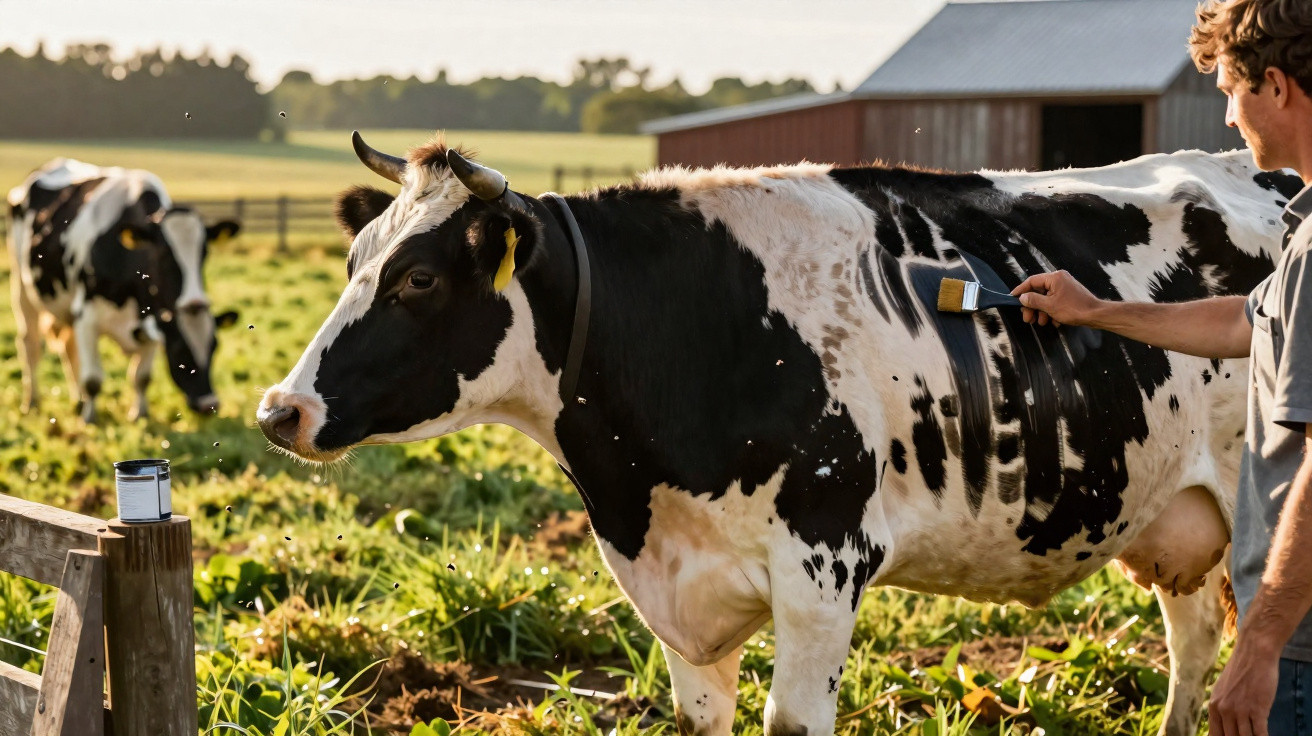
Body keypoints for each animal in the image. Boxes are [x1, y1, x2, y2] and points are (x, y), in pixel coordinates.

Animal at [8, 159, 240, 422]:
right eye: (179, 349)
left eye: (214, 346)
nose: (208, 404)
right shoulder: (86, 316)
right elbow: (93, 380)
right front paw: (89, 419)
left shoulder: (154, 317)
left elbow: (142, 377)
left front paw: (139, 415)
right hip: (22, 286)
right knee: (30, 345)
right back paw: (32, 402)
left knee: (69, 349)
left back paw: (77, 401)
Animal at [257, 132, 1303, 736]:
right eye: (353, 259)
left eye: (418, 278)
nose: (278, 409)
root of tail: (1258, 171)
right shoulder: (676, 596)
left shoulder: (824, 568)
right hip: (1177, 515)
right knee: (1194, 641)